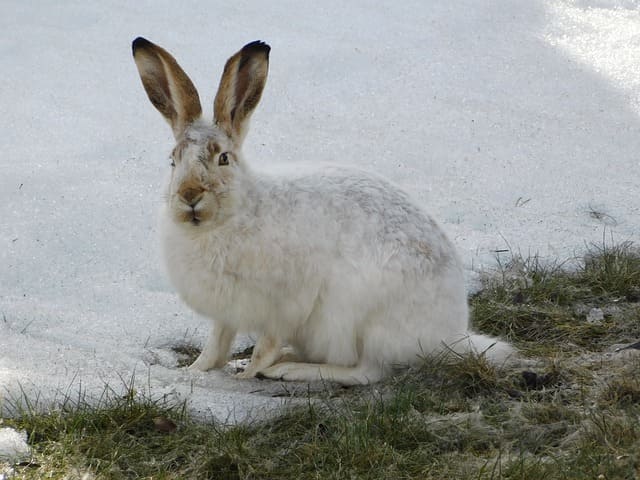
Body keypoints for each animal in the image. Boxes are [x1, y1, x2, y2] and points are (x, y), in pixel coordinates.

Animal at [132, 37, 513, 385]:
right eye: (173, 160)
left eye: (223, 158)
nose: (189, 195)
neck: (231, 216)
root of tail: (449, 335)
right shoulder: (226, 313)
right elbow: (217, 344)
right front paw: (194, 371)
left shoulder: (282, 305)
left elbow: (265, 344)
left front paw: (249, 372)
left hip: (358, 316)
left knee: (366, 371)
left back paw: (289, 369)